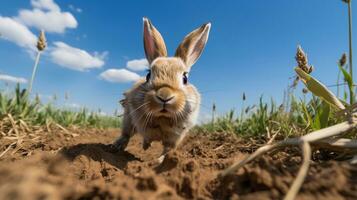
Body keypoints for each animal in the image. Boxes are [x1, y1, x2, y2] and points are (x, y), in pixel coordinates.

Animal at [112, 16, 210, 162]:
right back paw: (116, 147)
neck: (163, 117)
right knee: (126, 134)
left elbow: (167, 149)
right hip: (128, 119)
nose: (164, 96)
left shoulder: (174, 138)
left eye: (185, 78)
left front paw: (158, 161)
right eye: (148, 75)